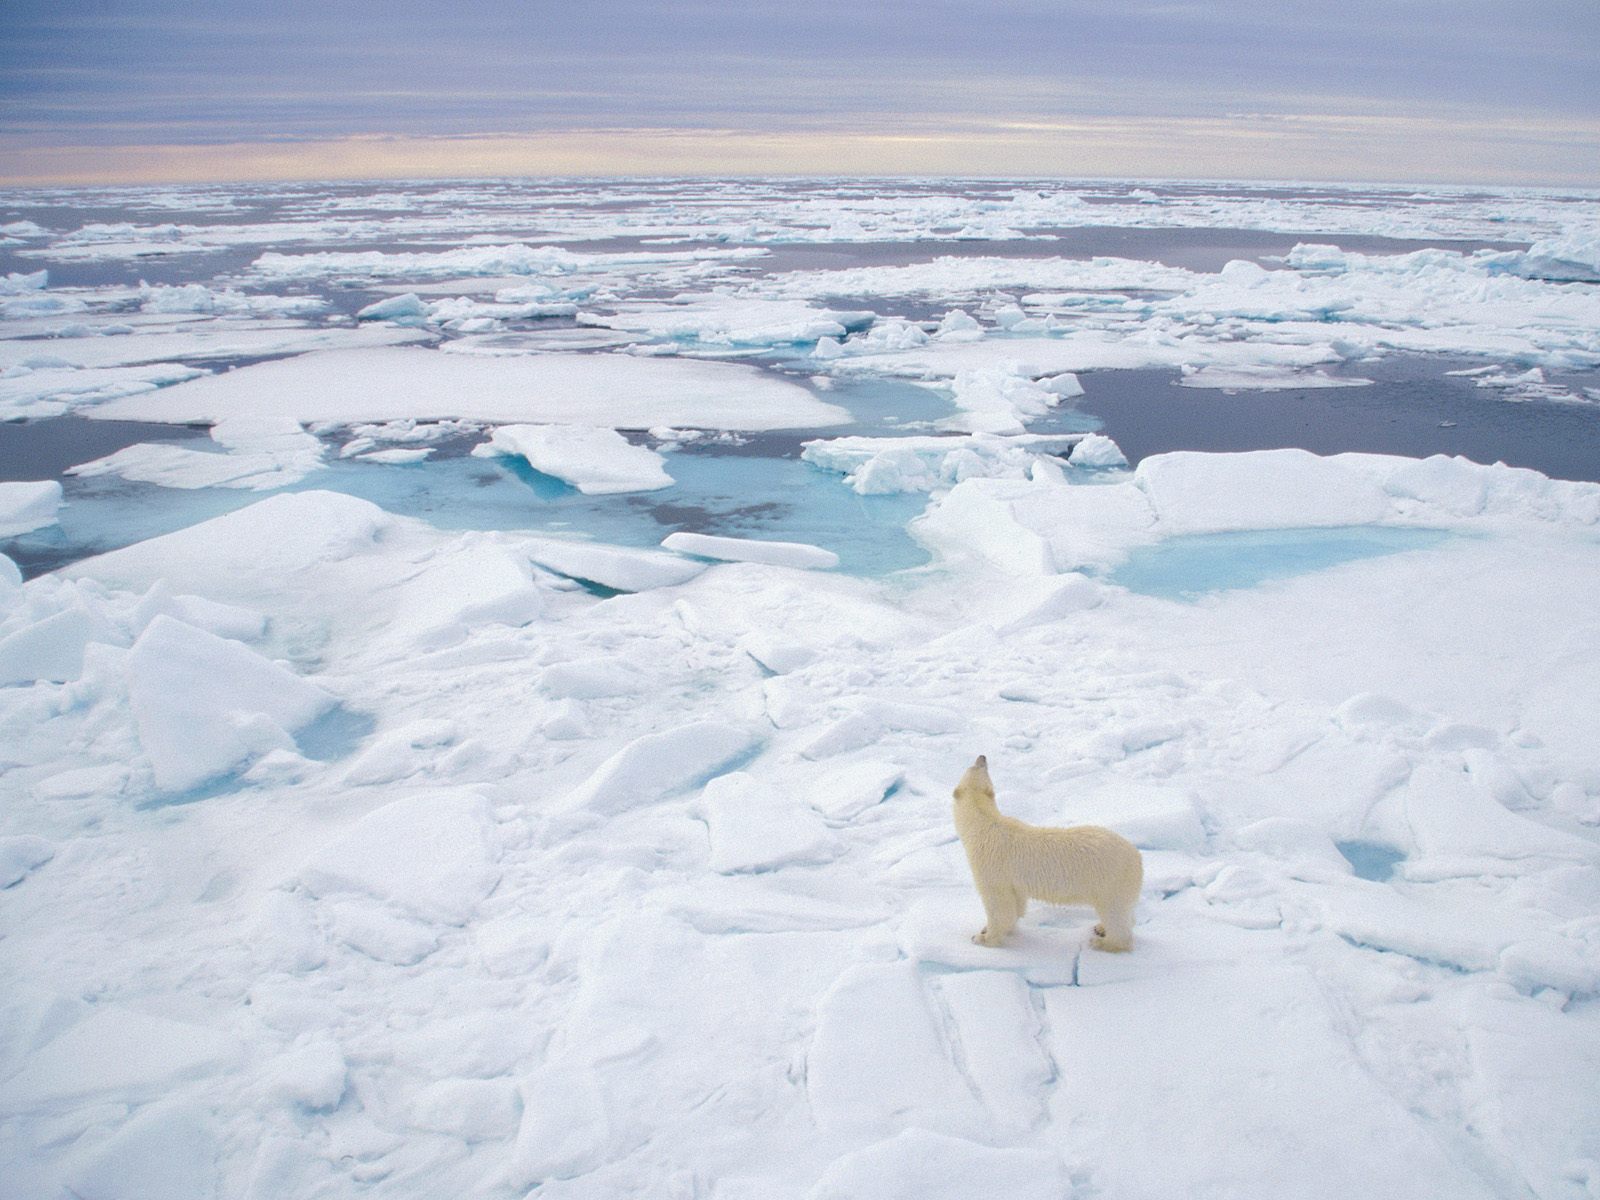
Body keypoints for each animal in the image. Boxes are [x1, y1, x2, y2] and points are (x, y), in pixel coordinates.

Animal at [953, 755, 1145, 953]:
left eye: (976, 767)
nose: (982, 757)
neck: (985, 825)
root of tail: (1137, 856)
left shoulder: (991, 867)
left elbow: (999, 906)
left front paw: (982, 937)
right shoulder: (1014, 882)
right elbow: (1016, 904)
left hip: (1110, 881)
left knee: (1115, 913)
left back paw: (1102, 942)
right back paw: (1101, 928)